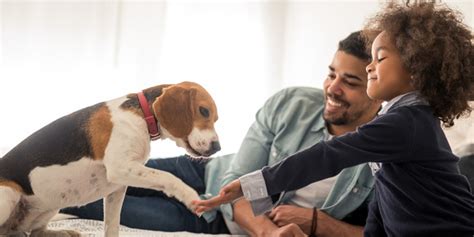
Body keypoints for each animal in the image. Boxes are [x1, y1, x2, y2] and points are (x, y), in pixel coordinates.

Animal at [0, 81, 221, 235]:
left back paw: (64, 232)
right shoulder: (120, 168)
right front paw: (190, 197)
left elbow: (112, 225)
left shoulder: (117, 188)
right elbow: (168, 177)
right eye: (204, 111)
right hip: (9, 193)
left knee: (35, 233)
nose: (217, 147)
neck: (143, 116)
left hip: (51, 204)